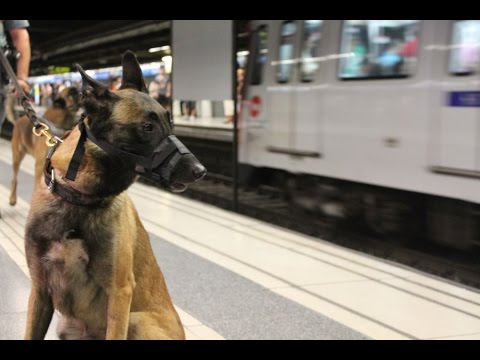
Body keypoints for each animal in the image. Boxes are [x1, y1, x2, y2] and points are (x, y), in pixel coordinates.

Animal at [24, 51, 204, 340]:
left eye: (171, 122)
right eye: (147, 127)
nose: (201, 171)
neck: (80, 200)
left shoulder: (120, 292)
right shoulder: (39, 288)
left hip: (137, 321)